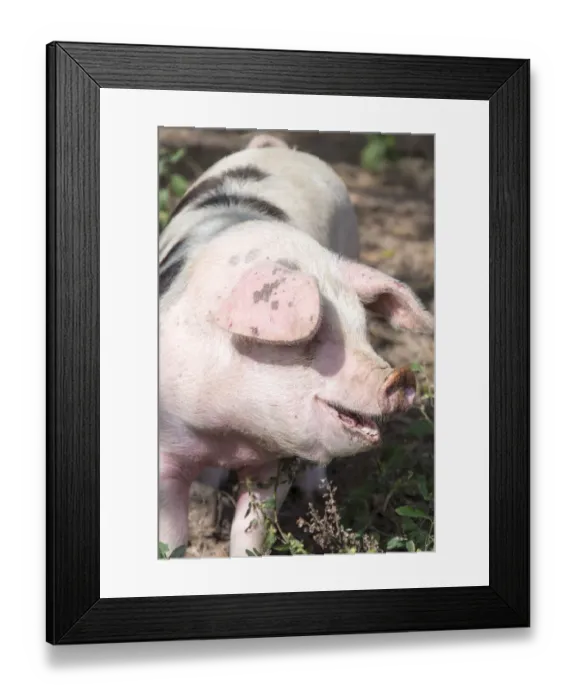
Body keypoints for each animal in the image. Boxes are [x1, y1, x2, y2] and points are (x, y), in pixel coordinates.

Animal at [158, 133, 433, 558]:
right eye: (314, 334)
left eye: (363, 330)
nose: (400, 377)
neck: (230, 432)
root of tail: (276, 146)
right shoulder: (164, 451)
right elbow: (170, 537)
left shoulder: (277, 462)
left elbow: (252, 530)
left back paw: (316, 490)